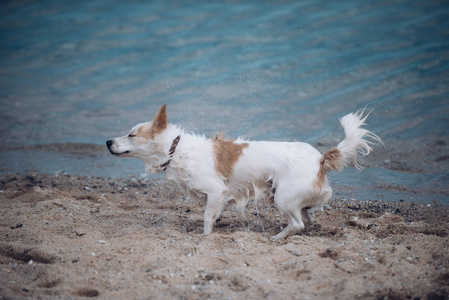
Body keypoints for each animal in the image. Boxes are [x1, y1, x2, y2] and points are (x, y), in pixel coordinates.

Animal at [107, 104, 380, 240]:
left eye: (131, 135)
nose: (108, 141)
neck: (176, 149)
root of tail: (320, 159)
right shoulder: (221, 196)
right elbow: (220, 212)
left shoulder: (216, 191)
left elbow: (207, 216)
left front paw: (206, 236)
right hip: (291, 198)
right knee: (307, 220)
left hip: (283, 198)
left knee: (298, 223)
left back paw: (277, 238)